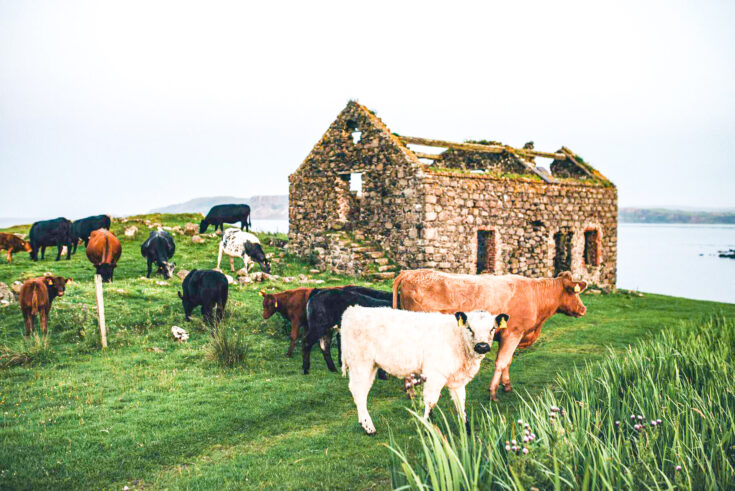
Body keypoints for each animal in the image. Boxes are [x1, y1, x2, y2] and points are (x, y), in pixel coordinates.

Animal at [342, 308, 508, 434]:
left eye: (492, 328)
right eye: (469, 328)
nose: (482, 346)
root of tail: (353, 310)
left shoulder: (457, 380)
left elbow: (460, 403)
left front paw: (466, 428)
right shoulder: (435, 375)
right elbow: (430, 401)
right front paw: (428, 427)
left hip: (371, 365)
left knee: (362, 392)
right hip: (360, 363)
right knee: (358, 391)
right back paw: (368, 427)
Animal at [394, 270, 588, 402]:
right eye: (574, 291)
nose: (583, 309)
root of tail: (409, 272)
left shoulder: (508, 336)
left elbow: (508, 361)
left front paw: (506, 385)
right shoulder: (513, 333)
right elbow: (501, 361)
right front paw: (493, 391)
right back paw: (411, 390)